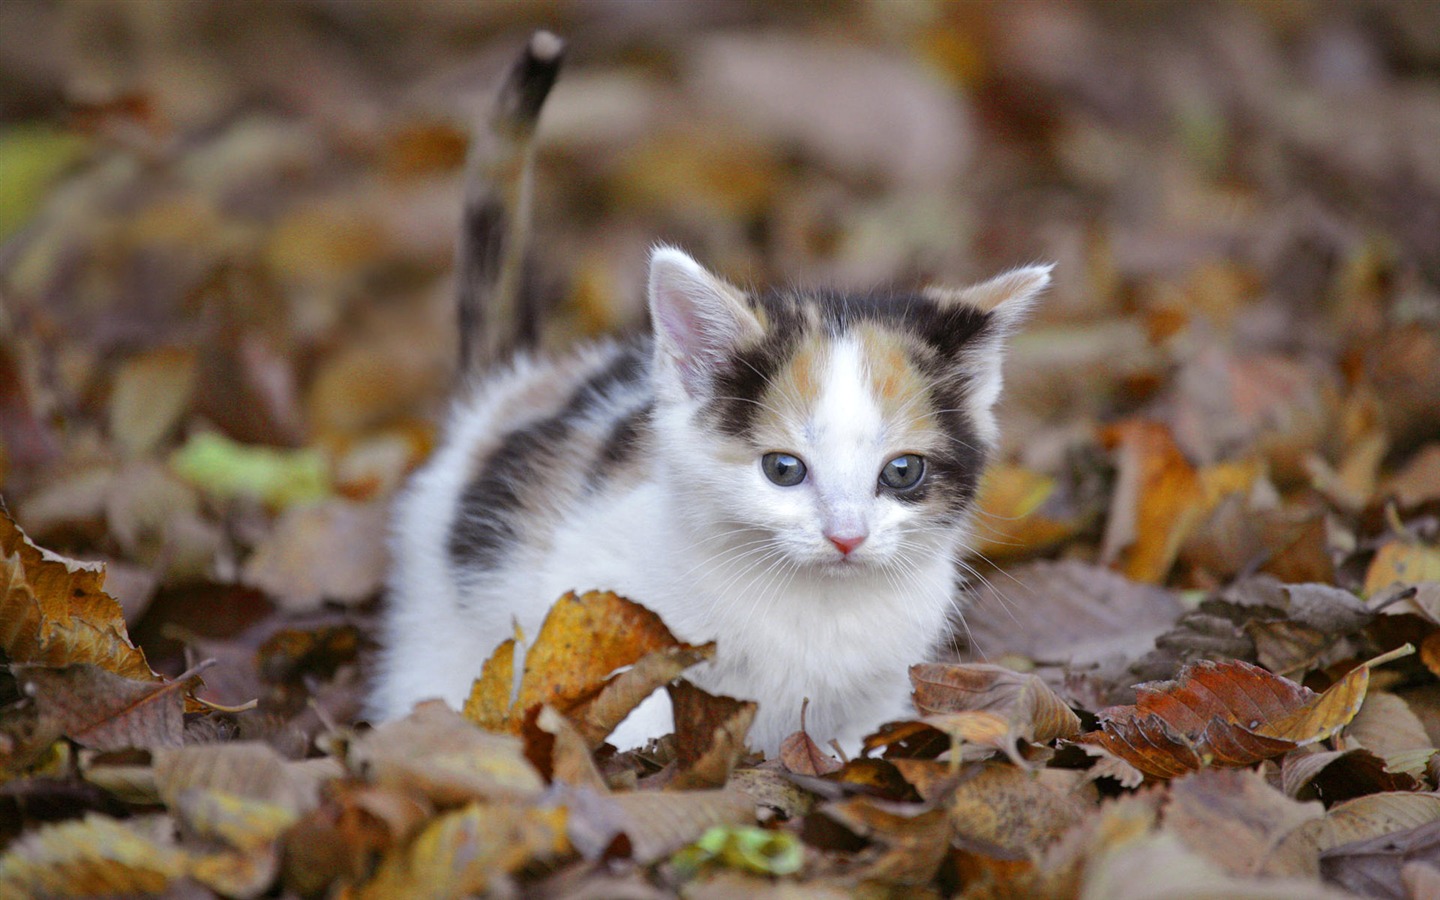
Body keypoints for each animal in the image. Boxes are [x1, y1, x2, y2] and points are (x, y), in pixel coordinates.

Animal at [365, 33, 1054, 748]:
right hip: (440, 610)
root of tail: (514, 388)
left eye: (902, 472)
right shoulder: (600, 611)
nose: (846, 538)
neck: (814, 607)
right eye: (783, 469)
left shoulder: (884, 682)